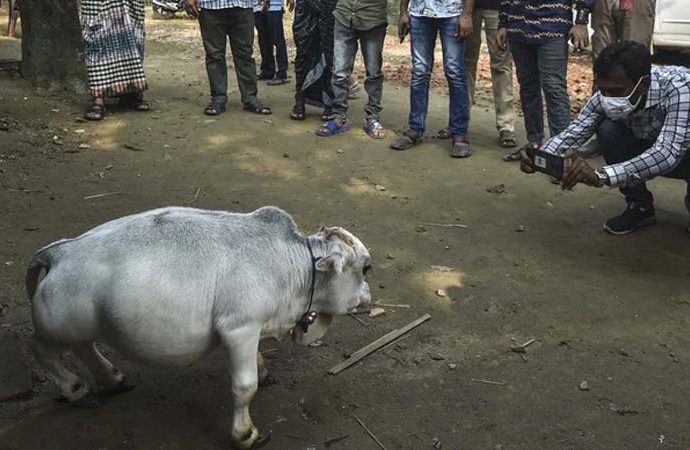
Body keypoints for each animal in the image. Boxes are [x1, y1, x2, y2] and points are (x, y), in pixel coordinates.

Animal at [26, 206, 370, 448]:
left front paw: (262, 369)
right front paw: (246, 434)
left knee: (84, 347)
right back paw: (74, 388)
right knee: (44, 352)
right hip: (55, 328)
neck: (293, 264)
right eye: (366, 268)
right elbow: (244, 386)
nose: (368, 295)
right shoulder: (239, 327)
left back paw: (112, 378)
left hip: (82, 325)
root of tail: (57, 251)